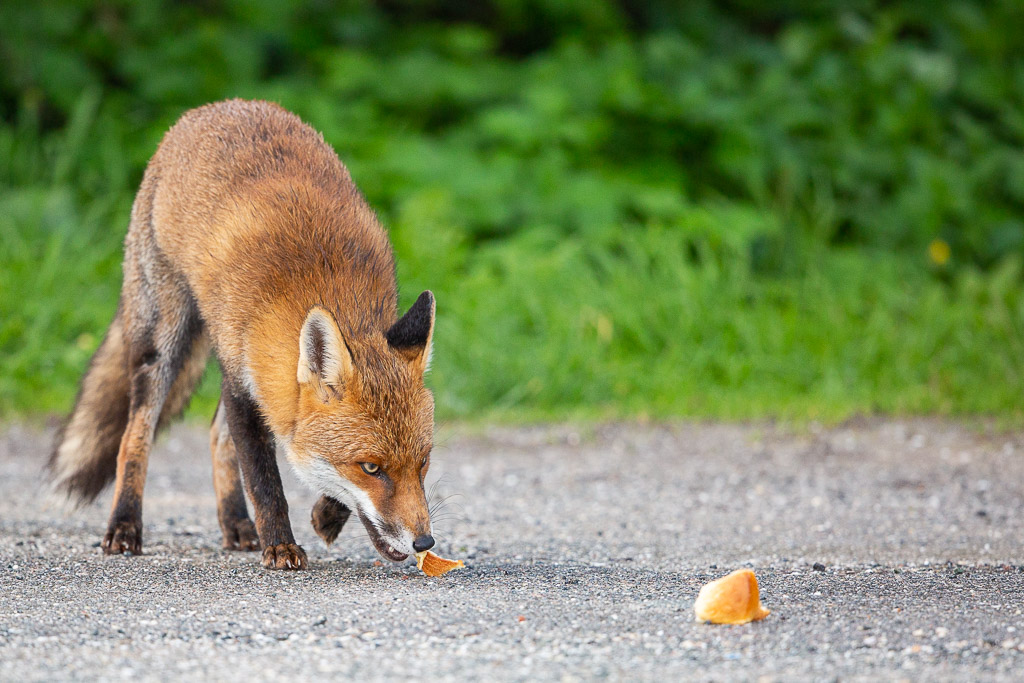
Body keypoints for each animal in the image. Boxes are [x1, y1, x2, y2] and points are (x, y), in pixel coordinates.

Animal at [49, 99, 438, 570]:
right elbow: (265, 482)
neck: (323, 287)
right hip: (162, 343)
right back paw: (125, 525)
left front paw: (327, 515)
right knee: (134, 436)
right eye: (371, 468)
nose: (424, 543)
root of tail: (214, 107)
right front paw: (282, 546)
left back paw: (235, 523)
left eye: (423, 463)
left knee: (215, 435)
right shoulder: (242, 385)